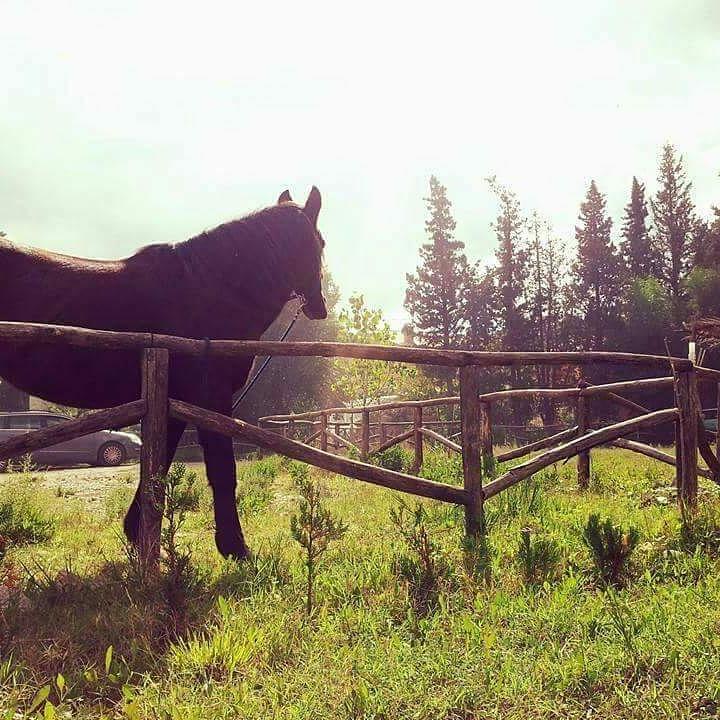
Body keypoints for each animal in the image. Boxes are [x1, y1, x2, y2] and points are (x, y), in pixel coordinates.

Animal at [1, 186, 328, 556]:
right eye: (320, 242)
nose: (319, 307)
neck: (209, 291)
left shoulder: (174, 401)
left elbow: (159, 464)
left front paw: (137, 534)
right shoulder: (210, 397)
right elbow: (221, 469)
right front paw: (235, 547)